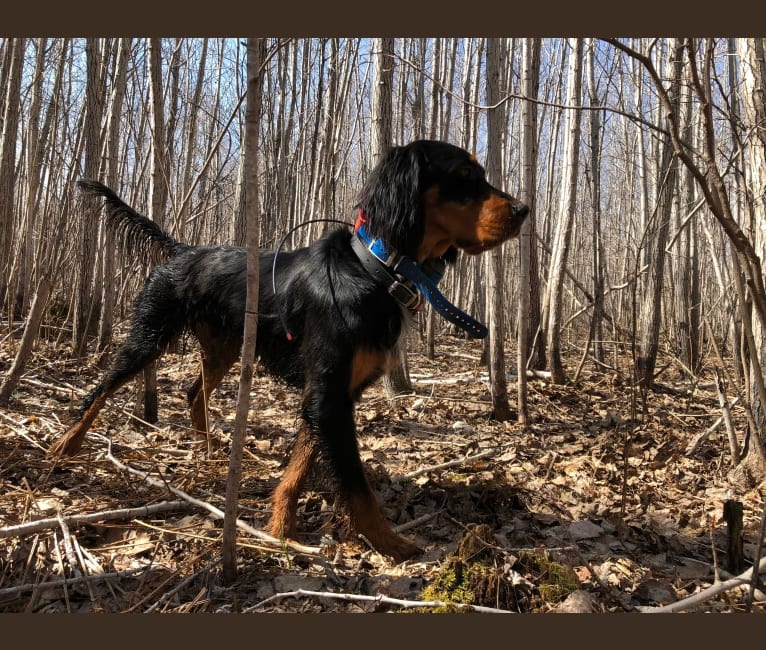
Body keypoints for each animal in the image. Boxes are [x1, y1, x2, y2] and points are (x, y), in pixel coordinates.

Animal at [51, 139, 532, 560]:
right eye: (464, 174)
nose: (524, 210)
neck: (375, 270)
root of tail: (183, 250)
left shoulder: (329, 395)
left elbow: (298, 467)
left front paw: (281, 530)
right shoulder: (327, 395)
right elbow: (355, 483)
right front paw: (390, 543)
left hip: (224, 347)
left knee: (193, 393)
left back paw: (209, 449)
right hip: (149, 335)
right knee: (100, 389)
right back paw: (65, 446)